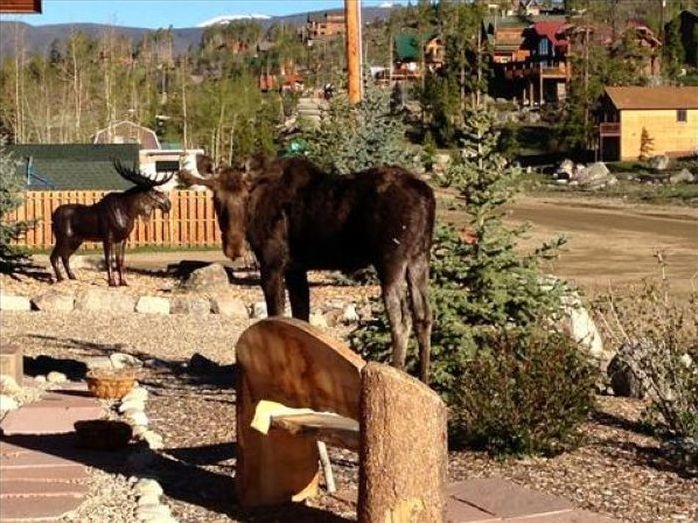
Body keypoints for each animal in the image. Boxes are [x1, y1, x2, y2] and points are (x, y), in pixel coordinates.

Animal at [178, 156, 436, 380]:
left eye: (245, 197)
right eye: (216, 200)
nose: (234, 248)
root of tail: (427, 198)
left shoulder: (273, 264)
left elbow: (277, 315)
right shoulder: (296, 268)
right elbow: (301, 319)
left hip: (391, 261)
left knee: (401, 320)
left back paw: (397, 374)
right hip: (419, 258)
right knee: (423, 316)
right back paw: (424, 381)